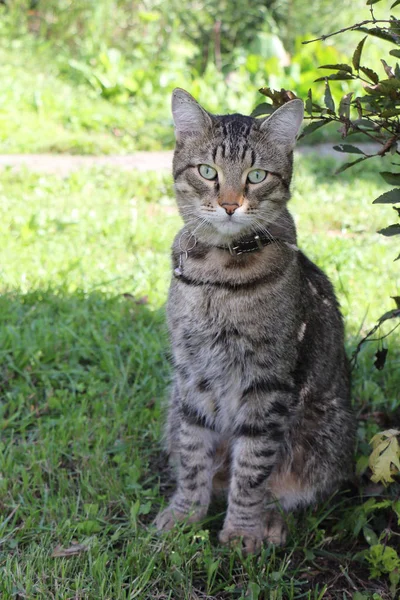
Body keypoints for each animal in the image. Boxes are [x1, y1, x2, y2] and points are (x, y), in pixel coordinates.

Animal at [155, 88, 354, 552]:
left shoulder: (267, 382)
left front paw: (242, 532)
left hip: (325, 433)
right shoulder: (191, 375)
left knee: (289, 492)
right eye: (208, 172)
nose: (230, 205)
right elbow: (193, 455)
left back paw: (272, 522)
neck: (218, 273)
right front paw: (185, 514)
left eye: (257, 175)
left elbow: (252, 469)